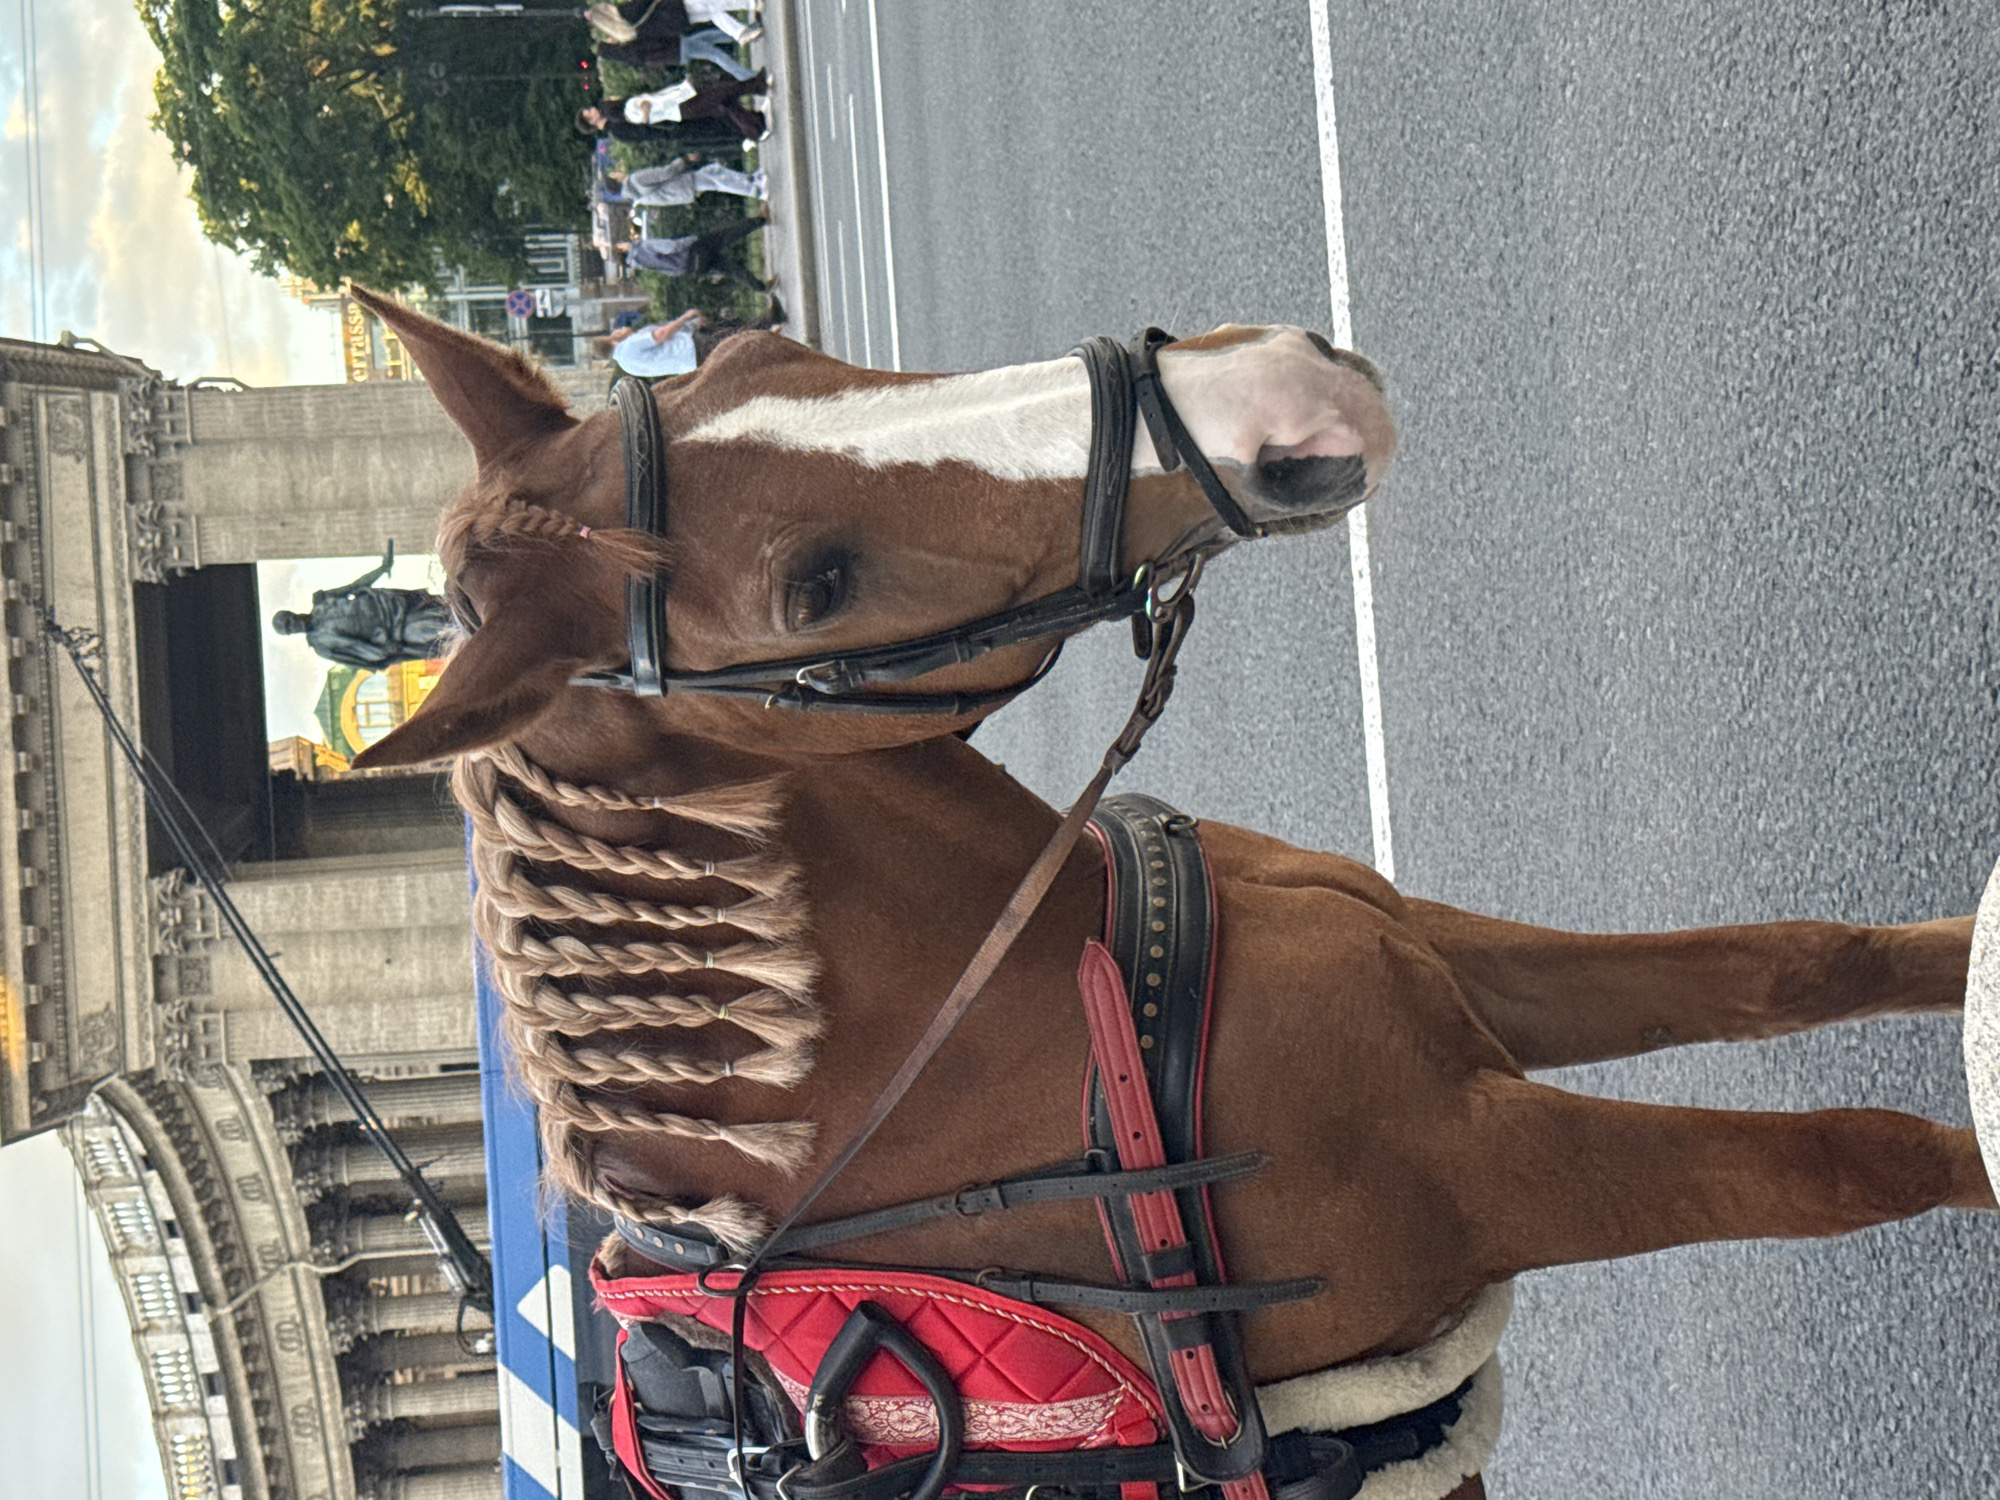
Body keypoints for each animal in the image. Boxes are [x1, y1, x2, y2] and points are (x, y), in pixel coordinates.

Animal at [346, 286, 1993, 1500]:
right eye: (815, 588)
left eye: (762, 349)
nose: (1287, 395)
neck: (1019, 1019)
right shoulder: (1491, 1168)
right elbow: (1863, 1160)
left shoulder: (1459, 977)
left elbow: (1799, 962)